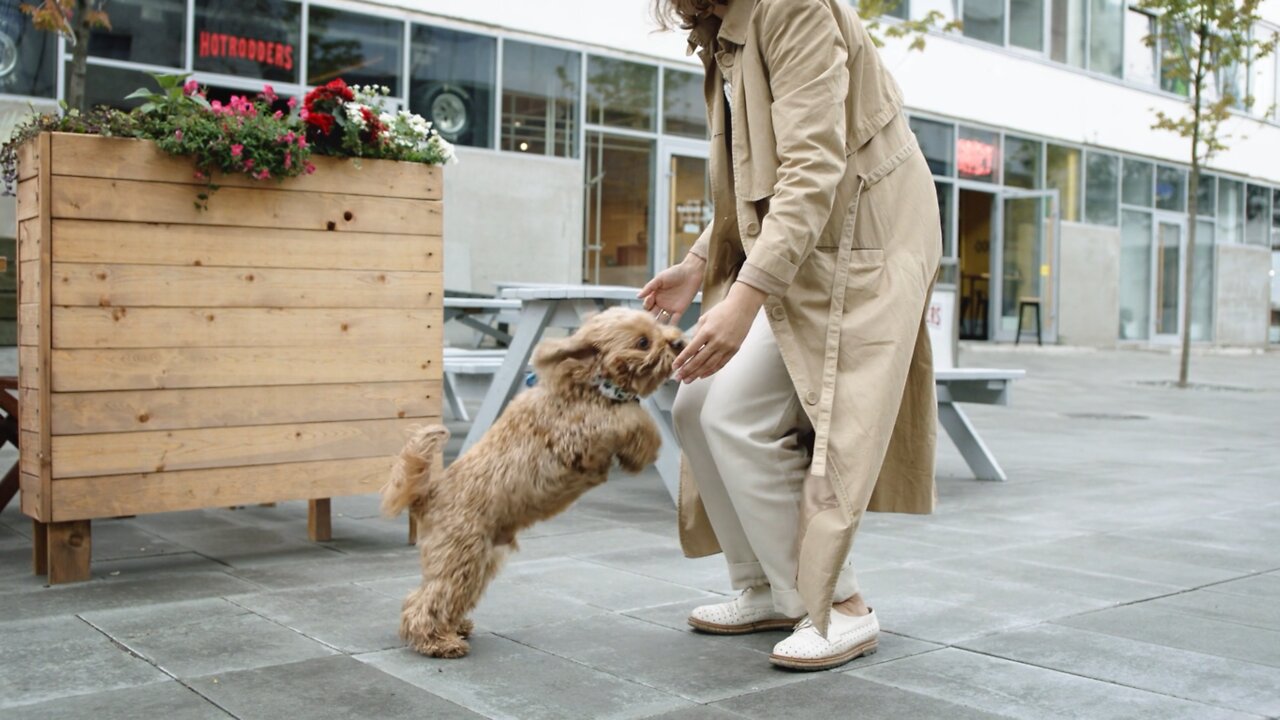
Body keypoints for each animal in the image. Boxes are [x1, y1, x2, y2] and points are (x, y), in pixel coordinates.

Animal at [378, 304, 686, 653]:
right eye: (643, 342)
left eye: (659, 326)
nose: (679, 342)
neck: (589, 385)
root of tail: (430, 494)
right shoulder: (579, 432)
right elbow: (630, 417)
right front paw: (643, 447)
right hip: (460, 553)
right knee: (425, 601)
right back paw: (437, 642)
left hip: (480, 559)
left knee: (444, 597)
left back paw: (455, 628)